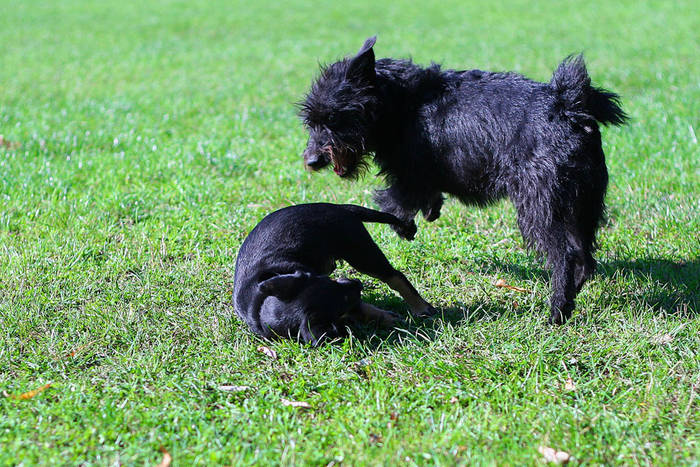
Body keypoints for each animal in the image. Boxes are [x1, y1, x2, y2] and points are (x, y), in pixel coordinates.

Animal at [232, 203, 434, 346]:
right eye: (342, 301)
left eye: (327, 280)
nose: (357, 283)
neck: (260, 306)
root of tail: (338, 207)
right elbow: (359, 309)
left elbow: (362, 307)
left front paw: (386, 317)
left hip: (360, 252)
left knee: (395, 277)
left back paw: (421, 307)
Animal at [298, 37, 628, 326]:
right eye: (311, 121)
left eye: (333, 118)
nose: (312, 161)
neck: (399, 102)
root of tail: (570, 105)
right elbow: (421, 195)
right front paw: (430, 211)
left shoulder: (410, 172)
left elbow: (396, 201)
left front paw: (405, 226)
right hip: (583, 203)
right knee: (584, 256)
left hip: (542, 205)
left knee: (566, 256)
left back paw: (557, 311)